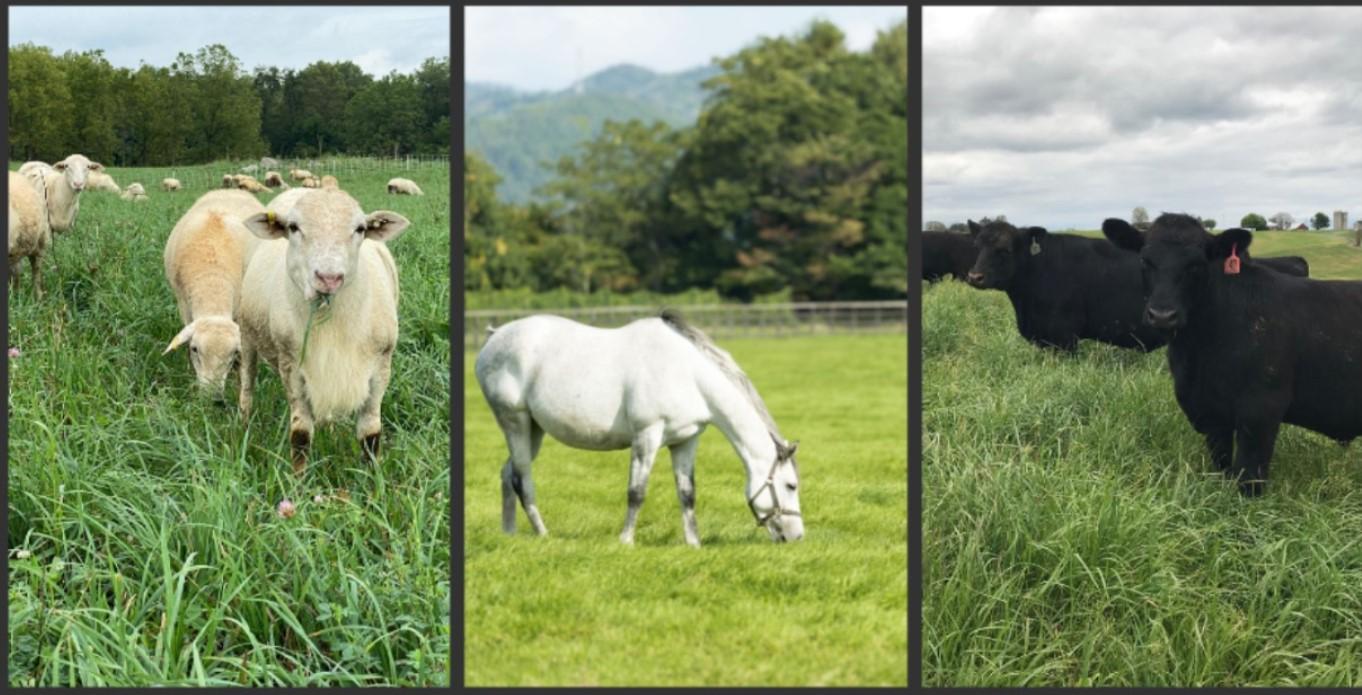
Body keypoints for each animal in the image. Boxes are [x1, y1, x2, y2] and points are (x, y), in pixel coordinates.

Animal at [238, 188, 410, 474]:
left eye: (361, 229)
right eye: (293, 227)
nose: (329, 278)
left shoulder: (381, 365)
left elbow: (370, 433)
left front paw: (375, 479)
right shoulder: (291, 366)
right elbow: (300, 435)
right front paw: (298, 480)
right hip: (246, 332)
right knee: (247, 380)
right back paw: (243, 423)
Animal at [475, 310, 804, 546]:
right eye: (791, 485)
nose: (797, 536)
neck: (687, 373)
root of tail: (494, 336)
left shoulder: (685, 442)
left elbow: (687, 494)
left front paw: (693, 544)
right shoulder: (647, 435)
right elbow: (636, 492)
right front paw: (626, 541)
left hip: (534, 430)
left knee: (507, 474)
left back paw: (509, 533)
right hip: (515, 422)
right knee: (522, 479)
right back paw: (543, 535)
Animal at [1103, 213, 1362, 496]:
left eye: (1197, 264)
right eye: (1144, 260)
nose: (1162, 315)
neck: (1198, 357)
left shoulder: (1261, 410)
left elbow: (1248, 475)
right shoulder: (1213, 414)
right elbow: (1222, 463)